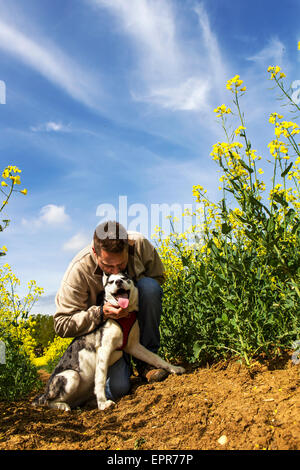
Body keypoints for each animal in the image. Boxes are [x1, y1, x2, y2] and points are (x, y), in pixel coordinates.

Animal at [31, 272, 184, 412]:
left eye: (124, 278)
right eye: (111, 282)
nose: (118, 282)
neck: (124, 316)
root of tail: (45, 392)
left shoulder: (134, 346)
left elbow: (156, 358)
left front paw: (174, 368)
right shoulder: (104, 350)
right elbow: (100, 380)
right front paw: (103, 404)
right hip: (71, 376)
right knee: (48, 401)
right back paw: (63, 406)